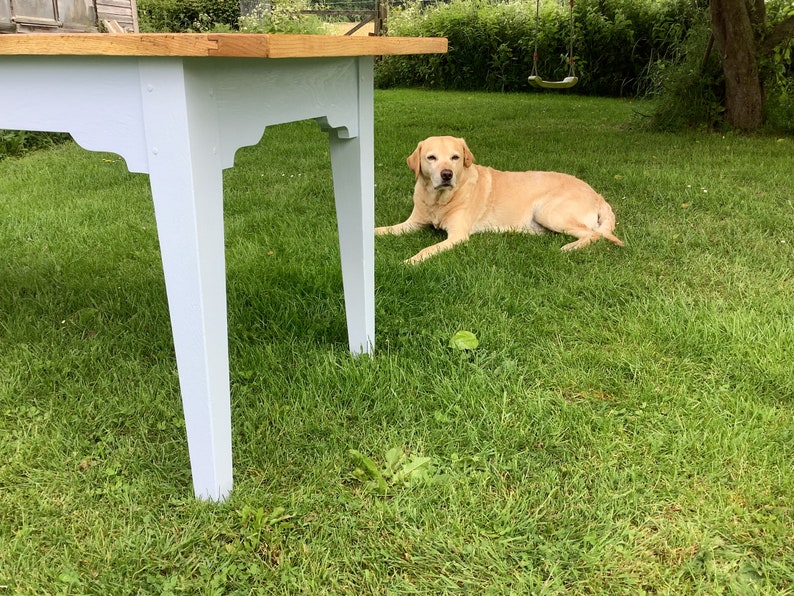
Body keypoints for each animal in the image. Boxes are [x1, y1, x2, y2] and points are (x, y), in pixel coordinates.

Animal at [374, 139, 620, 264]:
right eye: (431, 158)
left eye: (455, 157)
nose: (446, 175)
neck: (439, 200)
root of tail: (597, 194)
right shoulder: (411, 224)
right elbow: (382, 229)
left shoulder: (457, 236)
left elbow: (427, 249)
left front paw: (410, 261)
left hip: (549, 211)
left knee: (593, 234)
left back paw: (569, 247)